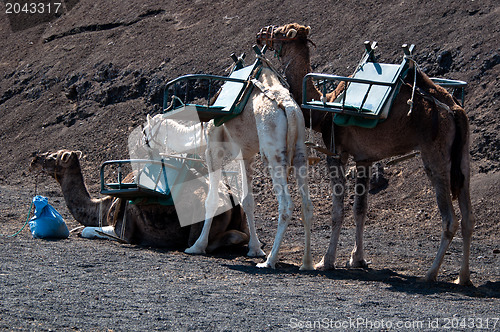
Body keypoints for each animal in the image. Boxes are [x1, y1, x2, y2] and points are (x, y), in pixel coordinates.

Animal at [256, 23, 474, 286]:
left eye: (280, 31)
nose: (261, 34)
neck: (323, 107)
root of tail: (455, 109)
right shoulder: (365, 159)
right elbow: (360, 209)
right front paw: (357, 259)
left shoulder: (336, 153)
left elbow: (337, 211)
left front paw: (325, 261)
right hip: (462, 156)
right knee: (468, 217)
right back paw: (463, 277)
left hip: (435, 154)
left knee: (450, 218)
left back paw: (430, 274)